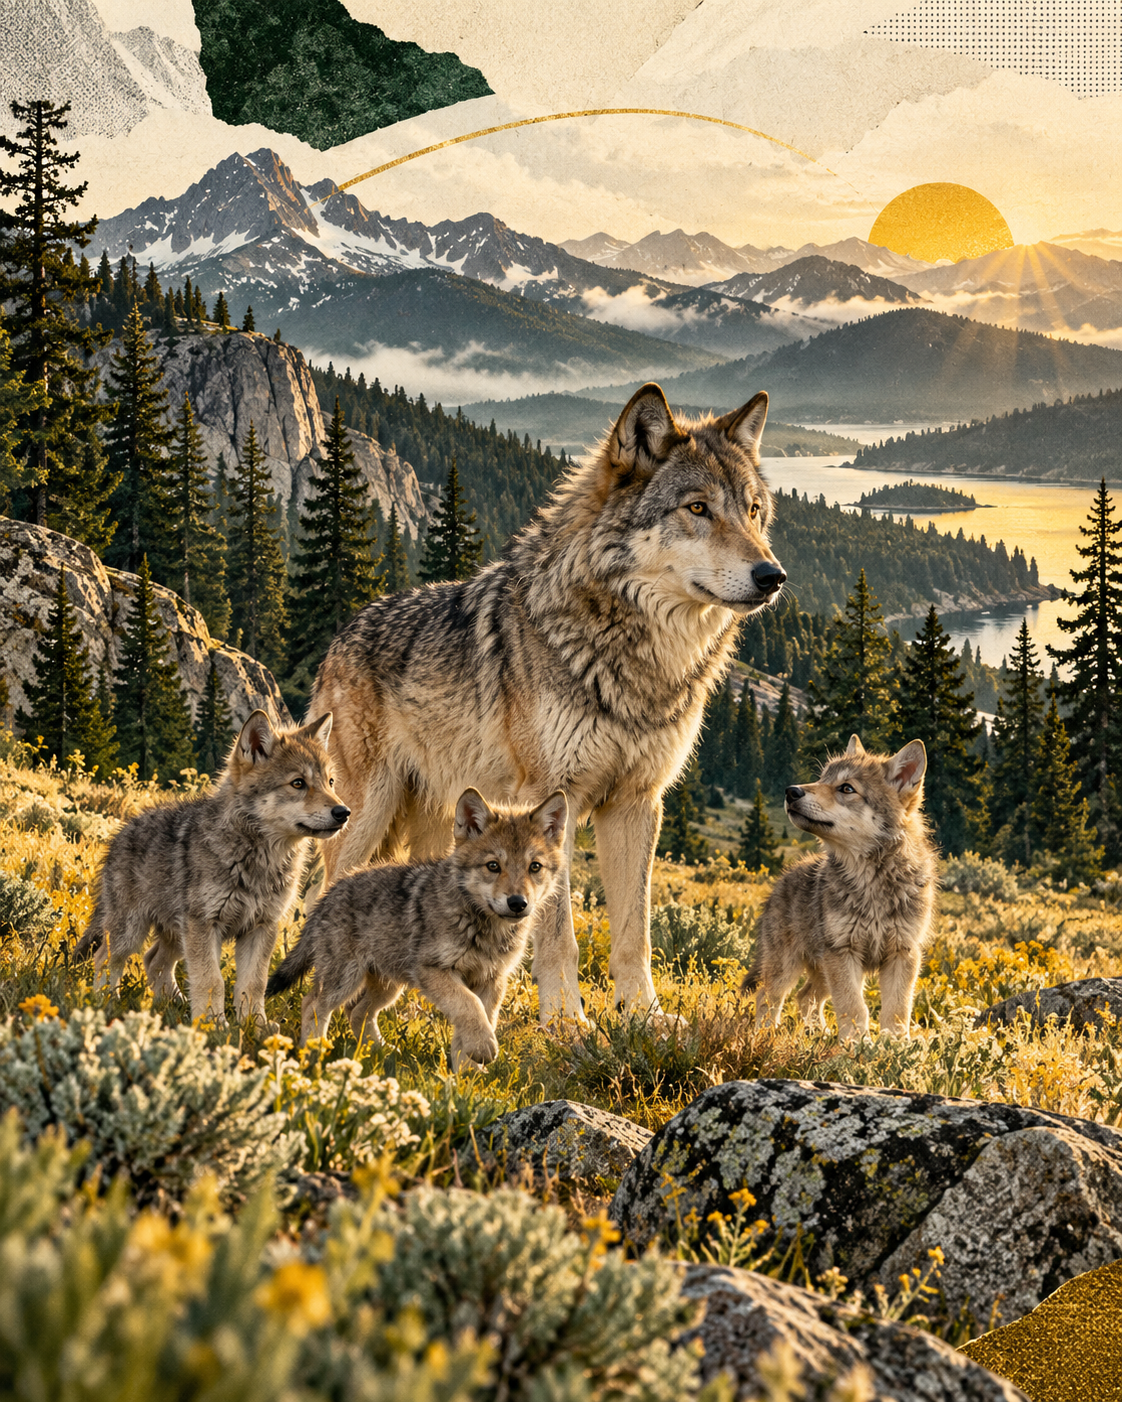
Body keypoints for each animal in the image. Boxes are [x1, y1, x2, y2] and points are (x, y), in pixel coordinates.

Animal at [73, 710, 350, 1027]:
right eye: (298, 783)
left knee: (153, 961)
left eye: (330, 782)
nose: (343, 812)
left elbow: (253, 984)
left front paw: (254, 1025)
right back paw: (106, 1003)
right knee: (106, 959)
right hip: (132, 932)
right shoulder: (206, 925)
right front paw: (213, 1025)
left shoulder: (261, 927)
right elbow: (212, 981)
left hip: (177, 935)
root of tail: (120, 832)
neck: (258, 860)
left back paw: (173, 1004)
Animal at [265, 788, 568, 1067]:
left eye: (534, 867)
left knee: (358, 1012)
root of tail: (330, 893)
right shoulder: (433, 970)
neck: (484, 928)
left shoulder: (491, 979)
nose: (517, 903)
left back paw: (383, 1052)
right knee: (313, 1004)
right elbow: (469, 1007)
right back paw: (312, 1054)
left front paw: (465, 1076)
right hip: (346, 978)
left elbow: (476, 1020)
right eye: (493, 866)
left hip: (388, 985)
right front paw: (482, 1048)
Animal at [306, 382, 785, 1027]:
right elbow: (558, 934)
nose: (772, 575)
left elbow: (635, 933)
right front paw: (566, 1023)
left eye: (753, 511)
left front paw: (644, 1016)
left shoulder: (637, 803)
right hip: (364, 815)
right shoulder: (555, 798)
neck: (633, 658)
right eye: (697, 509)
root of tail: (341, 635)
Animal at [744, 735, 937, 1041]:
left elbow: (896, 1010)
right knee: (768, 996)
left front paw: (895, 1045)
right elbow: (854, 1007)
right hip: (789, 967)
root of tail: (781, 879)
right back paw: (765, 1036)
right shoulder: (843, 953)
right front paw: (858, 1044)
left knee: (805, 997)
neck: (873, 883)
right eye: (821, 779)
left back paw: (818, 1033)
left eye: (846, 788)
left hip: (821, 970)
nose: (791, 791)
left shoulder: (903, 953)